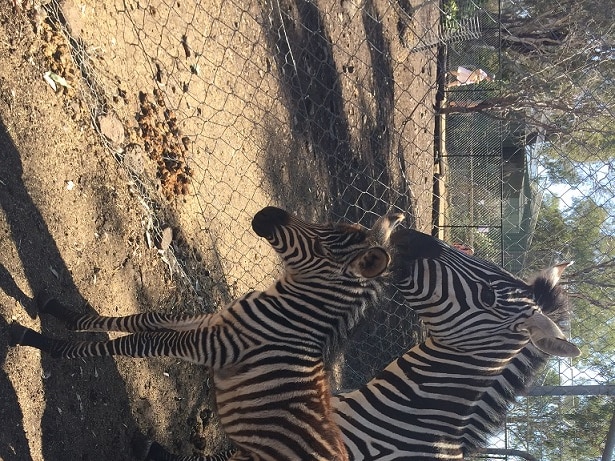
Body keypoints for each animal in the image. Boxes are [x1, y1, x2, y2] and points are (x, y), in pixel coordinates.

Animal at [9, 208, 406, 460]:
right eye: (327, 223)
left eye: (324, 248)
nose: (267, 212)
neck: (289, 312)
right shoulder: (208, 322)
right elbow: (143, 318)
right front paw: (61, 312)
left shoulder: (209, 343)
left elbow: (138, 341)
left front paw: (42, 343)